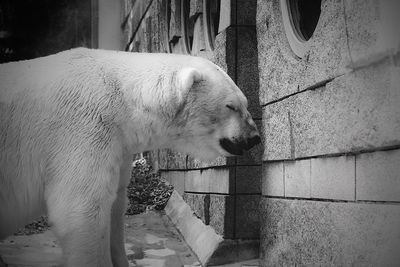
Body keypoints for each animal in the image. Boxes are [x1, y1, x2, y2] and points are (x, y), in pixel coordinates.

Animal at [0, 48, 260, 267]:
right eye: (231, 106)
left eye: (246, 103)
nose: (254, 137)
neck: (122, 98)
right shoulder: (80, 130)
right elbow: (81, 207)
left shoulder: (119, 147)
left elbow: (115, 207)